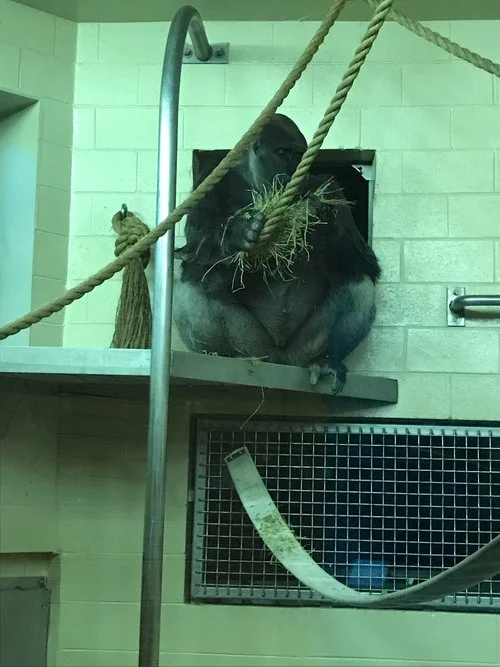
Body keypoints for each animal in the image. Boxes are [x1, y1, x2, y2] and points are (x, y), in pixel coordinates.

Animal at [173, 113, 380, 393]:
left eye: (300, 156)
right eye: (283, 153)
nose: (292, 170)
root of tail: (280, 362)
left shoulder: (329, 186)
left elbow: (365, 261)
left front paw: (324, 223)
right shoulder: (207, 183)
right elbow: (195, 253)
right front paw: (237, 236)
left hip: (301, 353)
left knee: (357, 280)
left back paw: (328, 359)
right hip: (255, 347)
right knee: (194, 283)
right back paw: (224, 359)